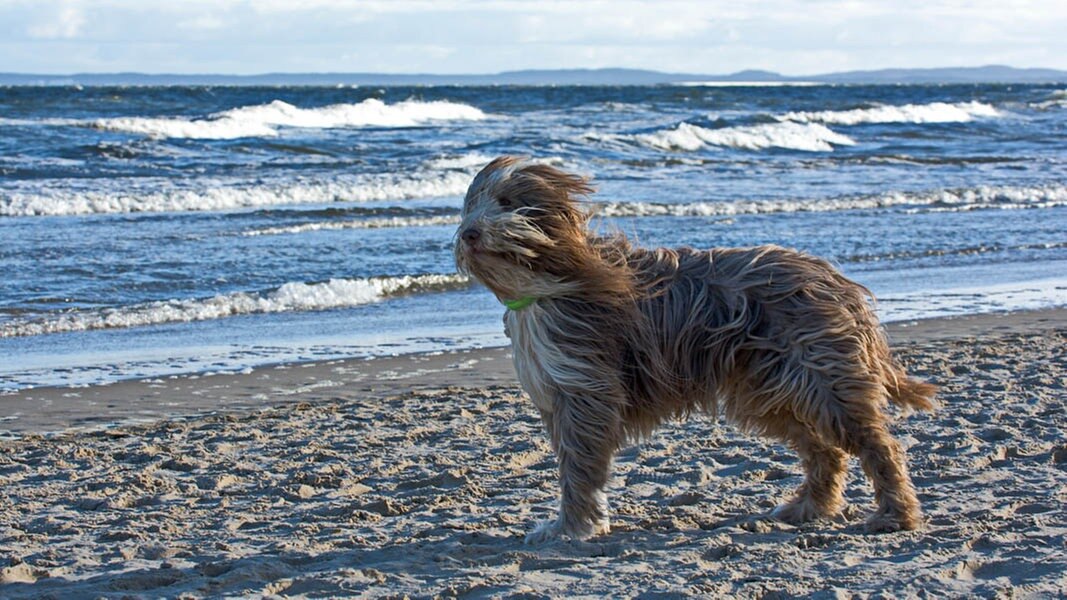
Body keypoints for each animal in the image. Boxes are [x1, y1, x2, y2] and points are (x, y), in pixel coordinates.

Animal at [454, 154, 938, 542]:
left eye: (508, 202)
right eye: (472, 203)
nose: (470, 234)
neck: (548, 280)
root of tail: (834, 278)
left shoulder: (586, 391)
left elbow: (579, 469)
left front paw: (570, 527)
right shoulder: (560, 399)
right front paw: (576, 524)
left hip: (822, 378)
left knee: (879, 446)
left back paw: (896, 514)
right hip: (768, 389)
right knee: (825, 450)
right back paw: (809, 507)